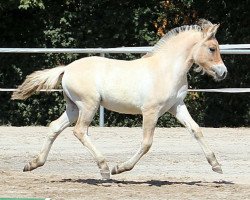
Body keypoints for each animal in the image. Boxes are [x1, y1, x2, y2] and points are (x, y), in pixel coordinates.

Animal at [11, 18, 227, 179]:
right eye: (212, 48)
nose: (223, 72)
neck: (166, 69)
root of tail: (67, 68)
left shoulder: (177, 106)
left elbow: (196, 130)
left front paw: (216, 165)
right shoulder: (150, 111)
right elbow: (147, 143)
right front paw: (120, 168)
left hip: (73, 107)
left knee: (55, 127)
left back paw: (33, 164)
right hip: (89, 105)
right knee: (80, 131)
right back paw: (105, 168)